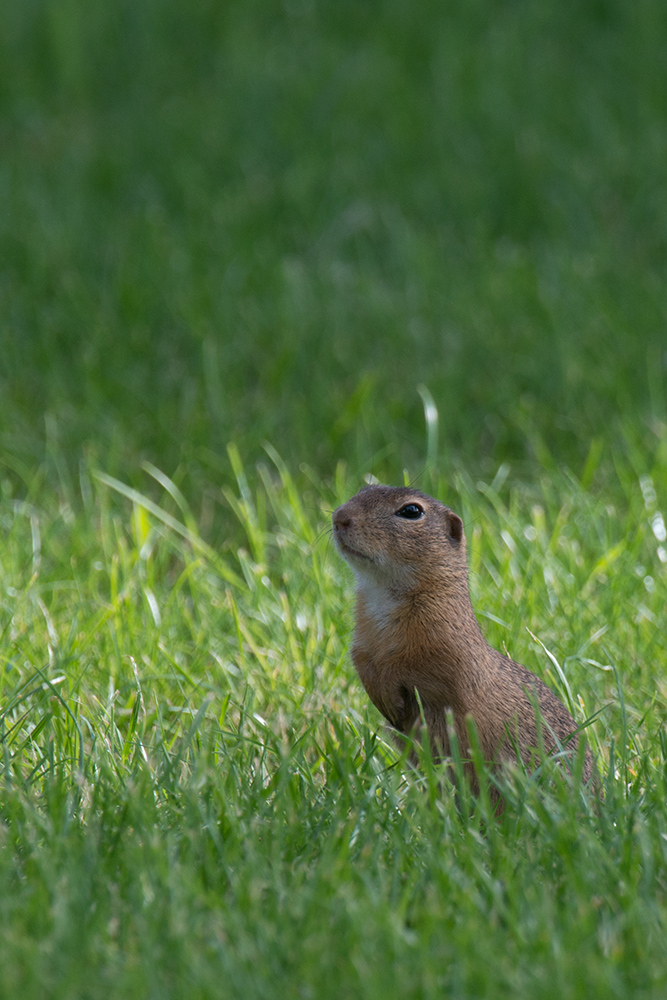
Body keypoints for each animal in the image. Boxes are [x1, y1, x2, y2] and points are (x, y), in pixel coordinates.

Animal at [332, 486, 596, 796]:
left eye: (411, 511)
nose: (340, 517)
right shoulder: (362, 647)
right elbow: (366, 668)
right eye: (364, 489)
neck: (382, 595)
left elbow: (414, 672)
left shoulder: (445, 650)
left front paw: (392, 701)